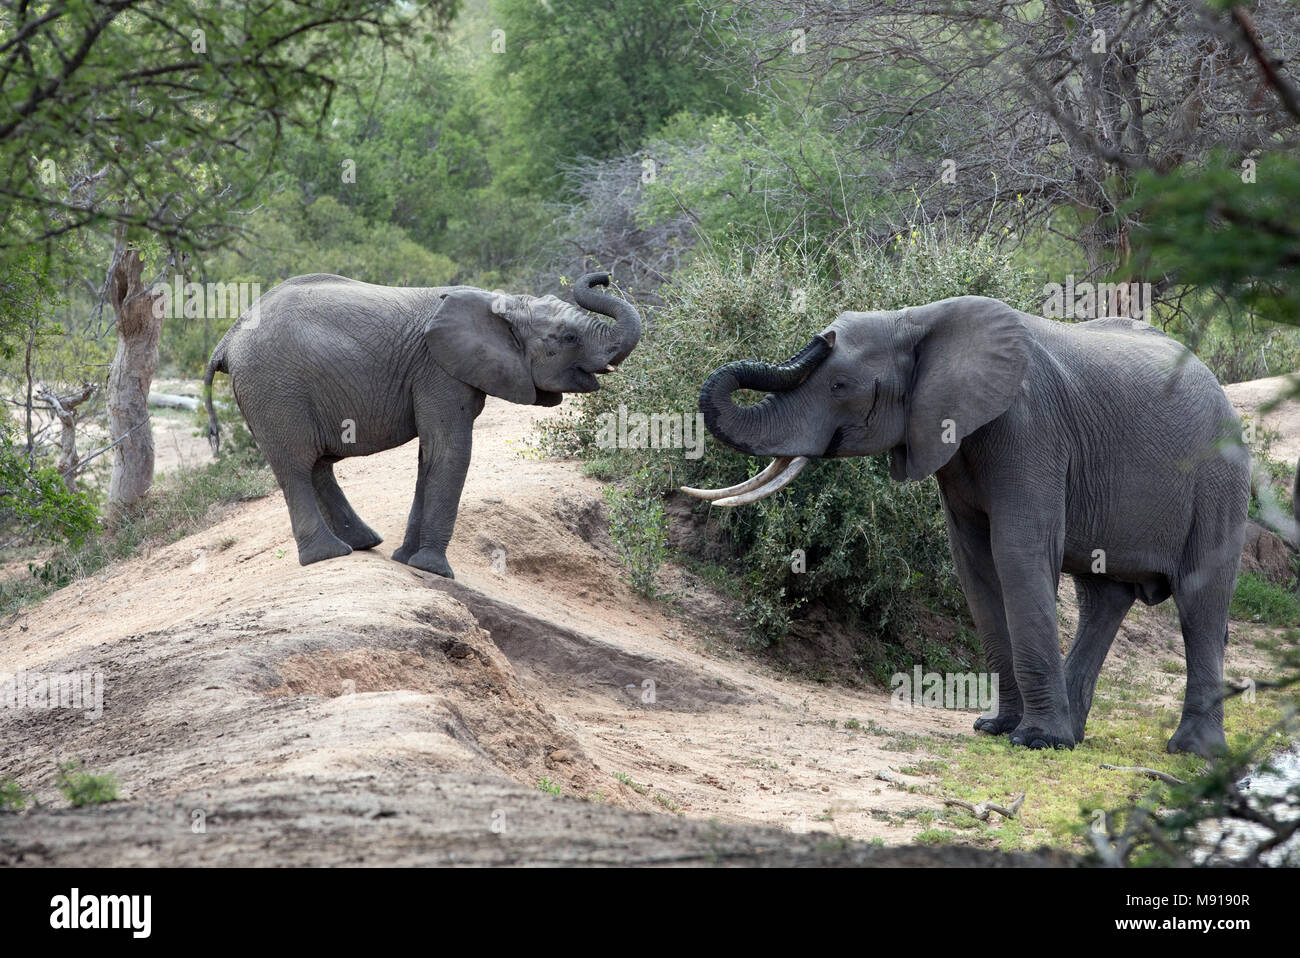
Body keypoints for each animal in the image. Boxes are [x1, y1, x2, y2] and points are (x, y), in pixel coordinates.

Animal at [201, 272, 639, 579]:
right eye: (567, 337)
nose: (603, 276)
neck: (501, 304)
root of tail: (226, 339)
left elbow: (429, 456)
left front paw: (405, 560)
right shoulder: (439, 370)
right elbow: (450, 451)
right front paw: (433, 570)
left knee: (316, 466)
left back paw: (365, 544)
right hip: (273, 389)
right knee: (295, 465)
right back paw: (329, 555)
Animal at [686, 295, 1253, 759]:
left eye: (840, 386)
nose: (822, 336)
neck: (914, 320)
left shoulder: (1029, 429)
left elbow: (1017, 552)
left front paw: (1035, 742)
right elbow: (975, 565)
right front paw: (995, 729)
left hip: (1220, 478)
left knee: (1199, 601)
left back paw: (1192, 753)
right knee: (1103, 597)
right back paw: (1077, 735)